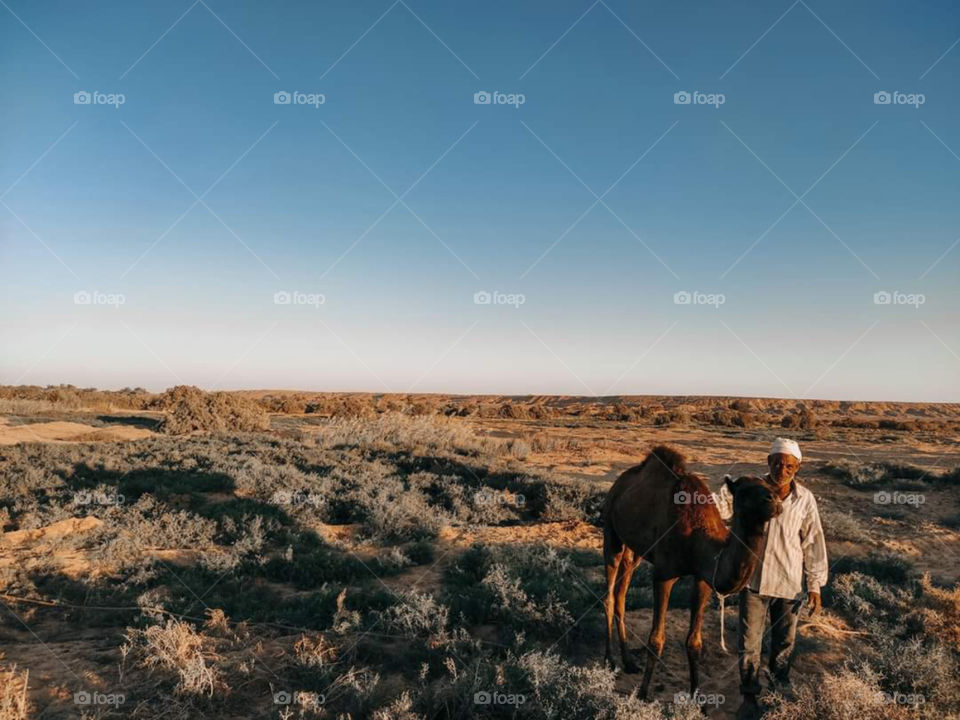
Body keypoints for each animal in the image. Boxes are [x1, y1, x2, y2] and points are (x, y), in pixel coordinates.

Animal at [602, 445, 782, 701]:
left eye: (771, 489)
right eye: (744, 492)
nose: (774, 501)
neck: (697, 537)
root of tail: (620, 482)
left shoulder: (702, 578)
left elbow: (694, 642)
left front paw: (696, 696)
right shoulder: (664, 574)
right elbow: (656, 639)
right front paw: (643, 694)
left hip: (635, 551)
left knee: (621, 595)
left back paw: (628, 662)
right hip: (611, 531)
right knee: (609, 594)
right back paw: (609, 661)